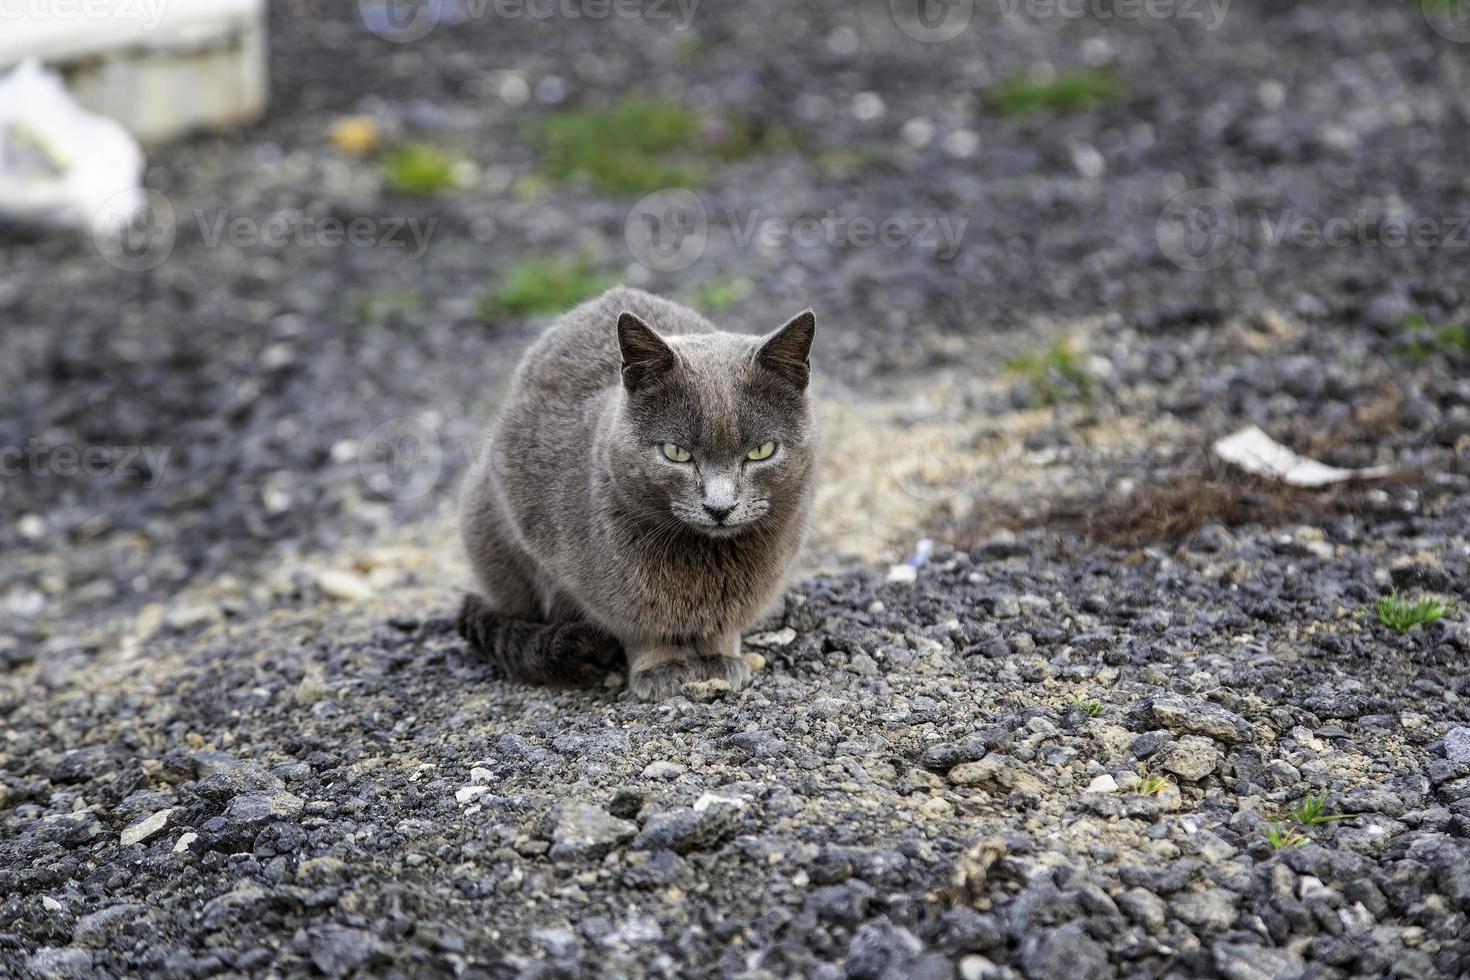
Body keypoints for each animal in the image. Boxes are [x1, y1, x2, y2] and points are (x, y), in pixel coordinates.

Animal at [455, 279, 817, 702]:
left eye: (761, 451)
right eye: (676, 452)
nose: (719, 506)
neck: (708, 562)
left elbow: (723, 626)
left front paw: (720, 659)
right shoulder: (602, 589)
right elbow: (643, 627)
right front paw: (662, 668)